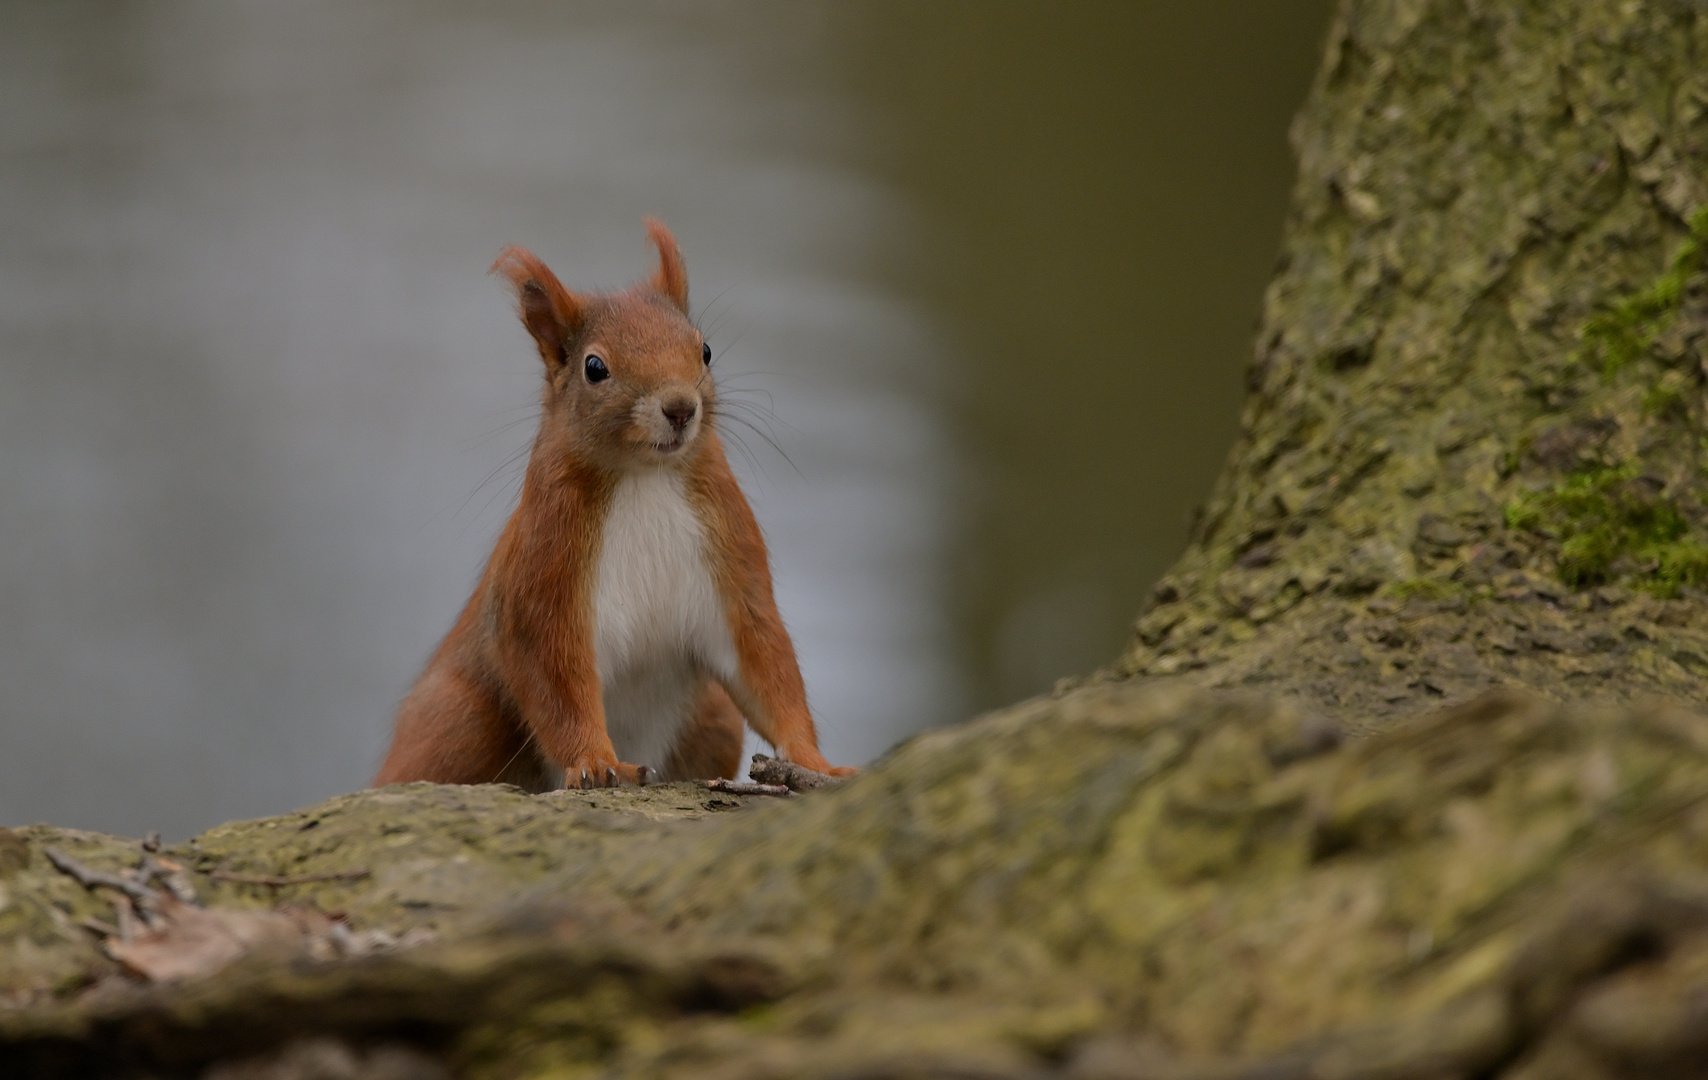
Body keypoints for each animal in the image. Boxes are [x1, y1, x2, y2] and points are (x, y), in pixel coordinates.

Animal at [377, 222, 850, 792]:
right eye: (595, 367)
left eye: (706, 349)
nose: (680, 407)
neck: (644, 477)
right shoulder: (544, 576)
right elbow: (556, 680)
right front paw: (597, 763)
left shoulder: (734, 563)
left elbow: (767, 662)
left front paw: (815, 763)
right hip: (459, 719)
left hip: (711, 715)